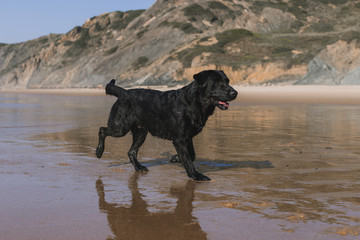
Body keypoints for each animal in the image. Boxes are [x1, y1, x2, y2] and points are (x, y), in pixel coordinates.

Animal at [95, 69, 238, 180]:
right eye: (217, 83)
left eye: (227, 81)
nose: (235, 93)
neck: (193, 103)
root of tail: (124, 92)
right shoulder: (180, 139)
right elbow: (188, 158)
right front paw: (195, 175)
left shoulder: (188, 137)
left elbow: (192, 155)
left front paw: (175, 158)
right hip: (120, 127)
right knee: (102, 130)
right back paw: (99, 151)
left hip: (141, 133)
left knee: (131, 151)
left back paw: (139, 167)